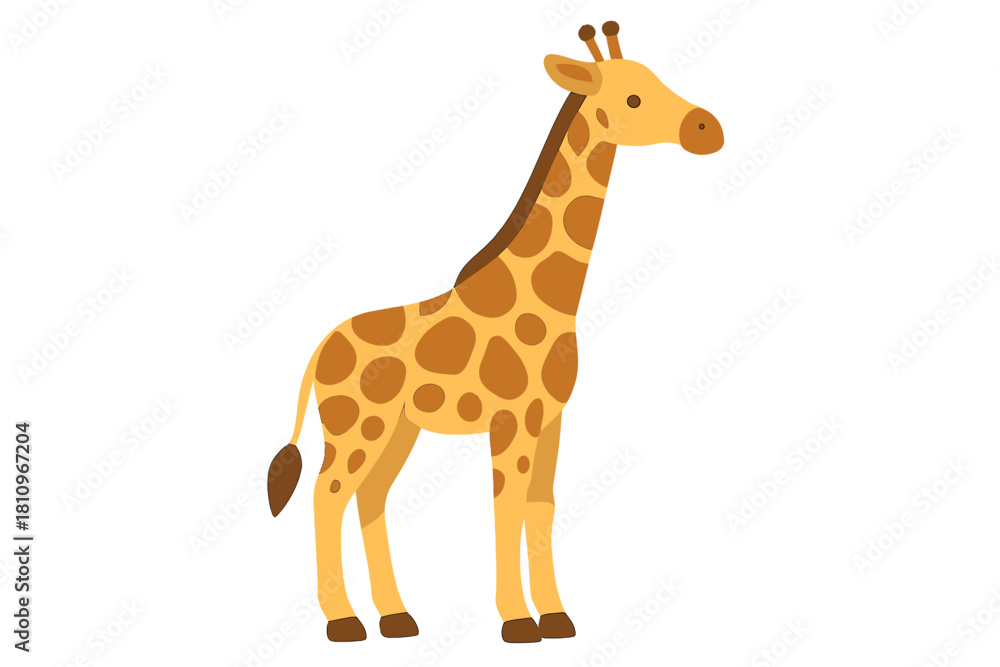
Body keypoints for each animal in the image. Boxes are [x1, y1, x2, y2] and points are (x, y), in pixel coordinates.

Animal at [266, 21, 723, 644]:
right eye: (632, 98)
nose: (708, 129)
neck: (549, 297)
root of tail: (319, 349)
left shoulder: (550, 419)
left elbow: (541, 507)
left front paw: (556, 616)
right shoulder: (511, 420)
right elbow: (504, 508)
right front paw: (517, 622)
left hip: (398, 430)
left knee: (371, 498)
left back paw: (397, 617)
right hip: (356, 426)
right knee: (326, 495)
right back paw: (344, 622)